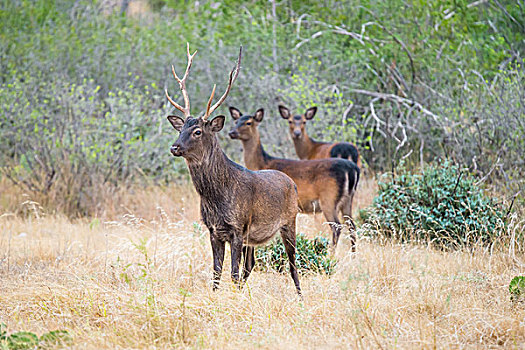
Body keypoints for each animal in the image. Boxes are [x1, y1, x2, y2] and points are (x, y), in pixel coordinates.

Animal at [166, 44, 300, 296]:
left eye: (197, 131)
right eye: (180, 129)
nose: (174, 147)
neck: (216, 197)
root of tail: (292, 182)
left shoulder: (238, 227)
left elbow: (233, 274)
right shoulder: (213, 230)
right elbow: (217, 272)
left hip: (289, 221)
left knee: (292, 264)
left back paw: (300, 297)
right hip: (253, 239)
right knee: (251, 265)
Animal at [227, 106, 358, 249]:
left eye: (248, 122)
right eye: (236, 121)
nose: (231, 132)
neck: (262, 163)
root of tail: (353, 169)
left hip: (329, 199)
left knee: (337, 226)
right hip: (347, 200)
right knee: (352, 225)